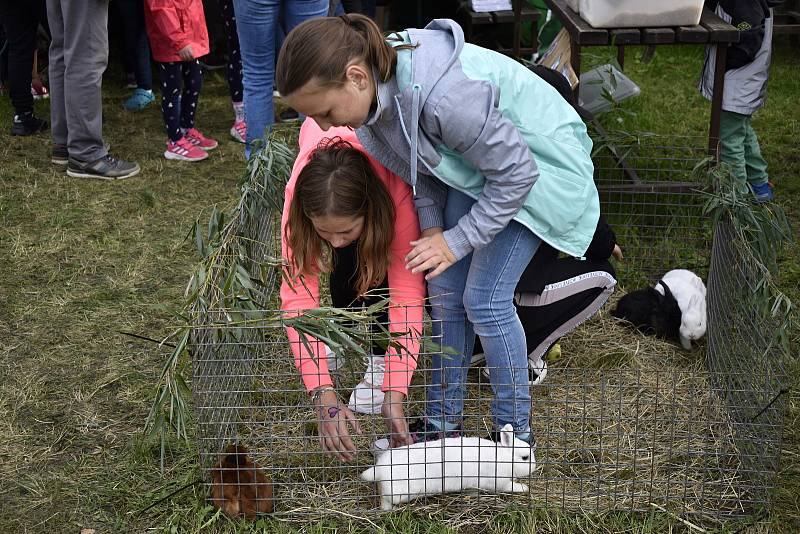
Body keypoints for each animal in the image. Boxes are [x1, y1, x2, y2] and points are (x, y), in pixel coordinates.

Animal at [360, 428, 536, 510]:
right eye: (525, 457)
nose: (535, 466)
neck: (504, 457)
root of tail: (380, 468)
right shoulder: (498, 482)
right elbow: (510, 487)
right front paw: (524, 488)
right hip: (398, 492)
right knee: (386, 497)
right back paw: (387, 509)